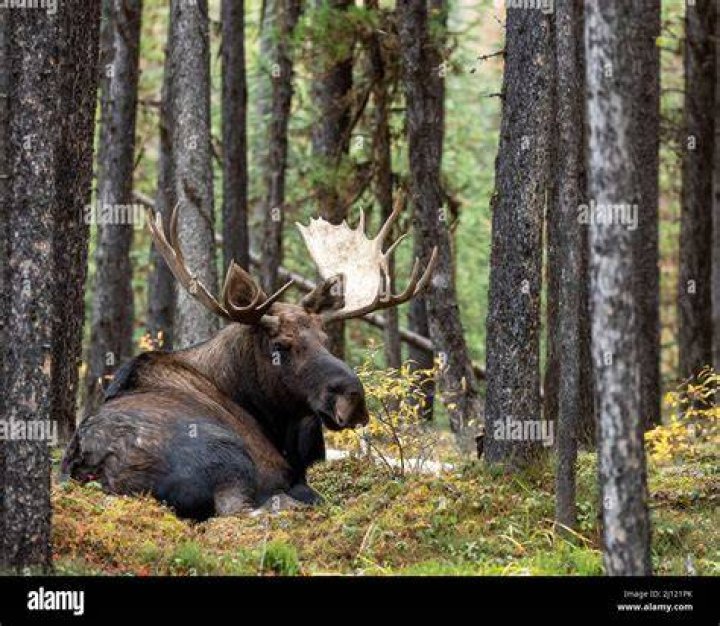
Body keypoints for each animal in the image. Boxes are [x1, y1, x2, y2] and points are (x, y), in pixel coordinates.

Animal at [62, 195, 437, 520]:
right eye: (280, 346)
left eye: (325, 338)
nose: (353, 397)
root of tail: (94, 463)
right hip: (228, 456)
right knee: (246, 510)